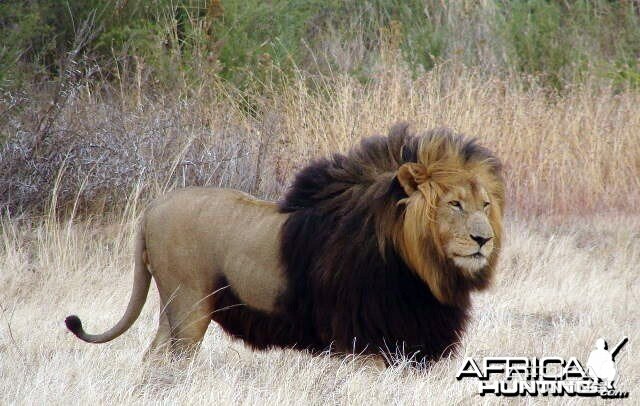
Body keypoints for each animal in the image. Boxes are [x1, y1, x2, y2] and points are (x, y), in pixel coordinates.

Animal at [65, 122, 504, 364]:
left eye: (485, 204)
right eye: (455, 204)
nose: (484, 239)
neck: (421, 267)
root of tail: (153, 207)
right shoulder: (363, 337)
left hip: (172, 308)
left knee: (153, 356)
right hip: (189, 307)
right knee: (170, 359)